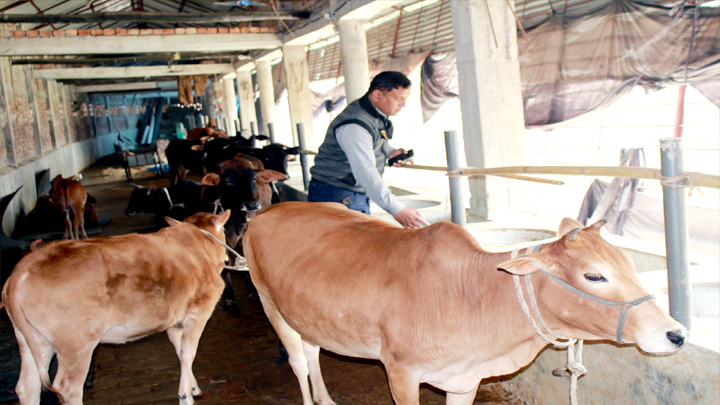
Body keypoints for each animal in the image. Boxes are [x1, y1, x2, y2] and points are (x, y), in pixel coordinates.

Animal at [0, 210, 231, 404]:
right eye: (225, 231)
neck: (198, 244)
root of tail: (26, 265)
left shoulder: (174, 319)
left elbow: (179, 350)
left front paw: (193, 388)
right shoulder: (199, 311)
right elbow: (188, 353)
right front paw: (186, 396)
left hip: (33, 340)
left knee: (27, 387)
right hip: (76, 345)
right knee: (67, 388)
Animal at [242, 202, 688, 404]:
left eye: (631, 265)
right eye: (594, 276)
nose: (677, 334)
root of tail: (266, 210)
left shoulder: (465, 380)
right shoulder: (401, 373)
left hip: (308, 314)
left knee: (313, 351)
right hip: (270, 303)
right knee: (298, 360)